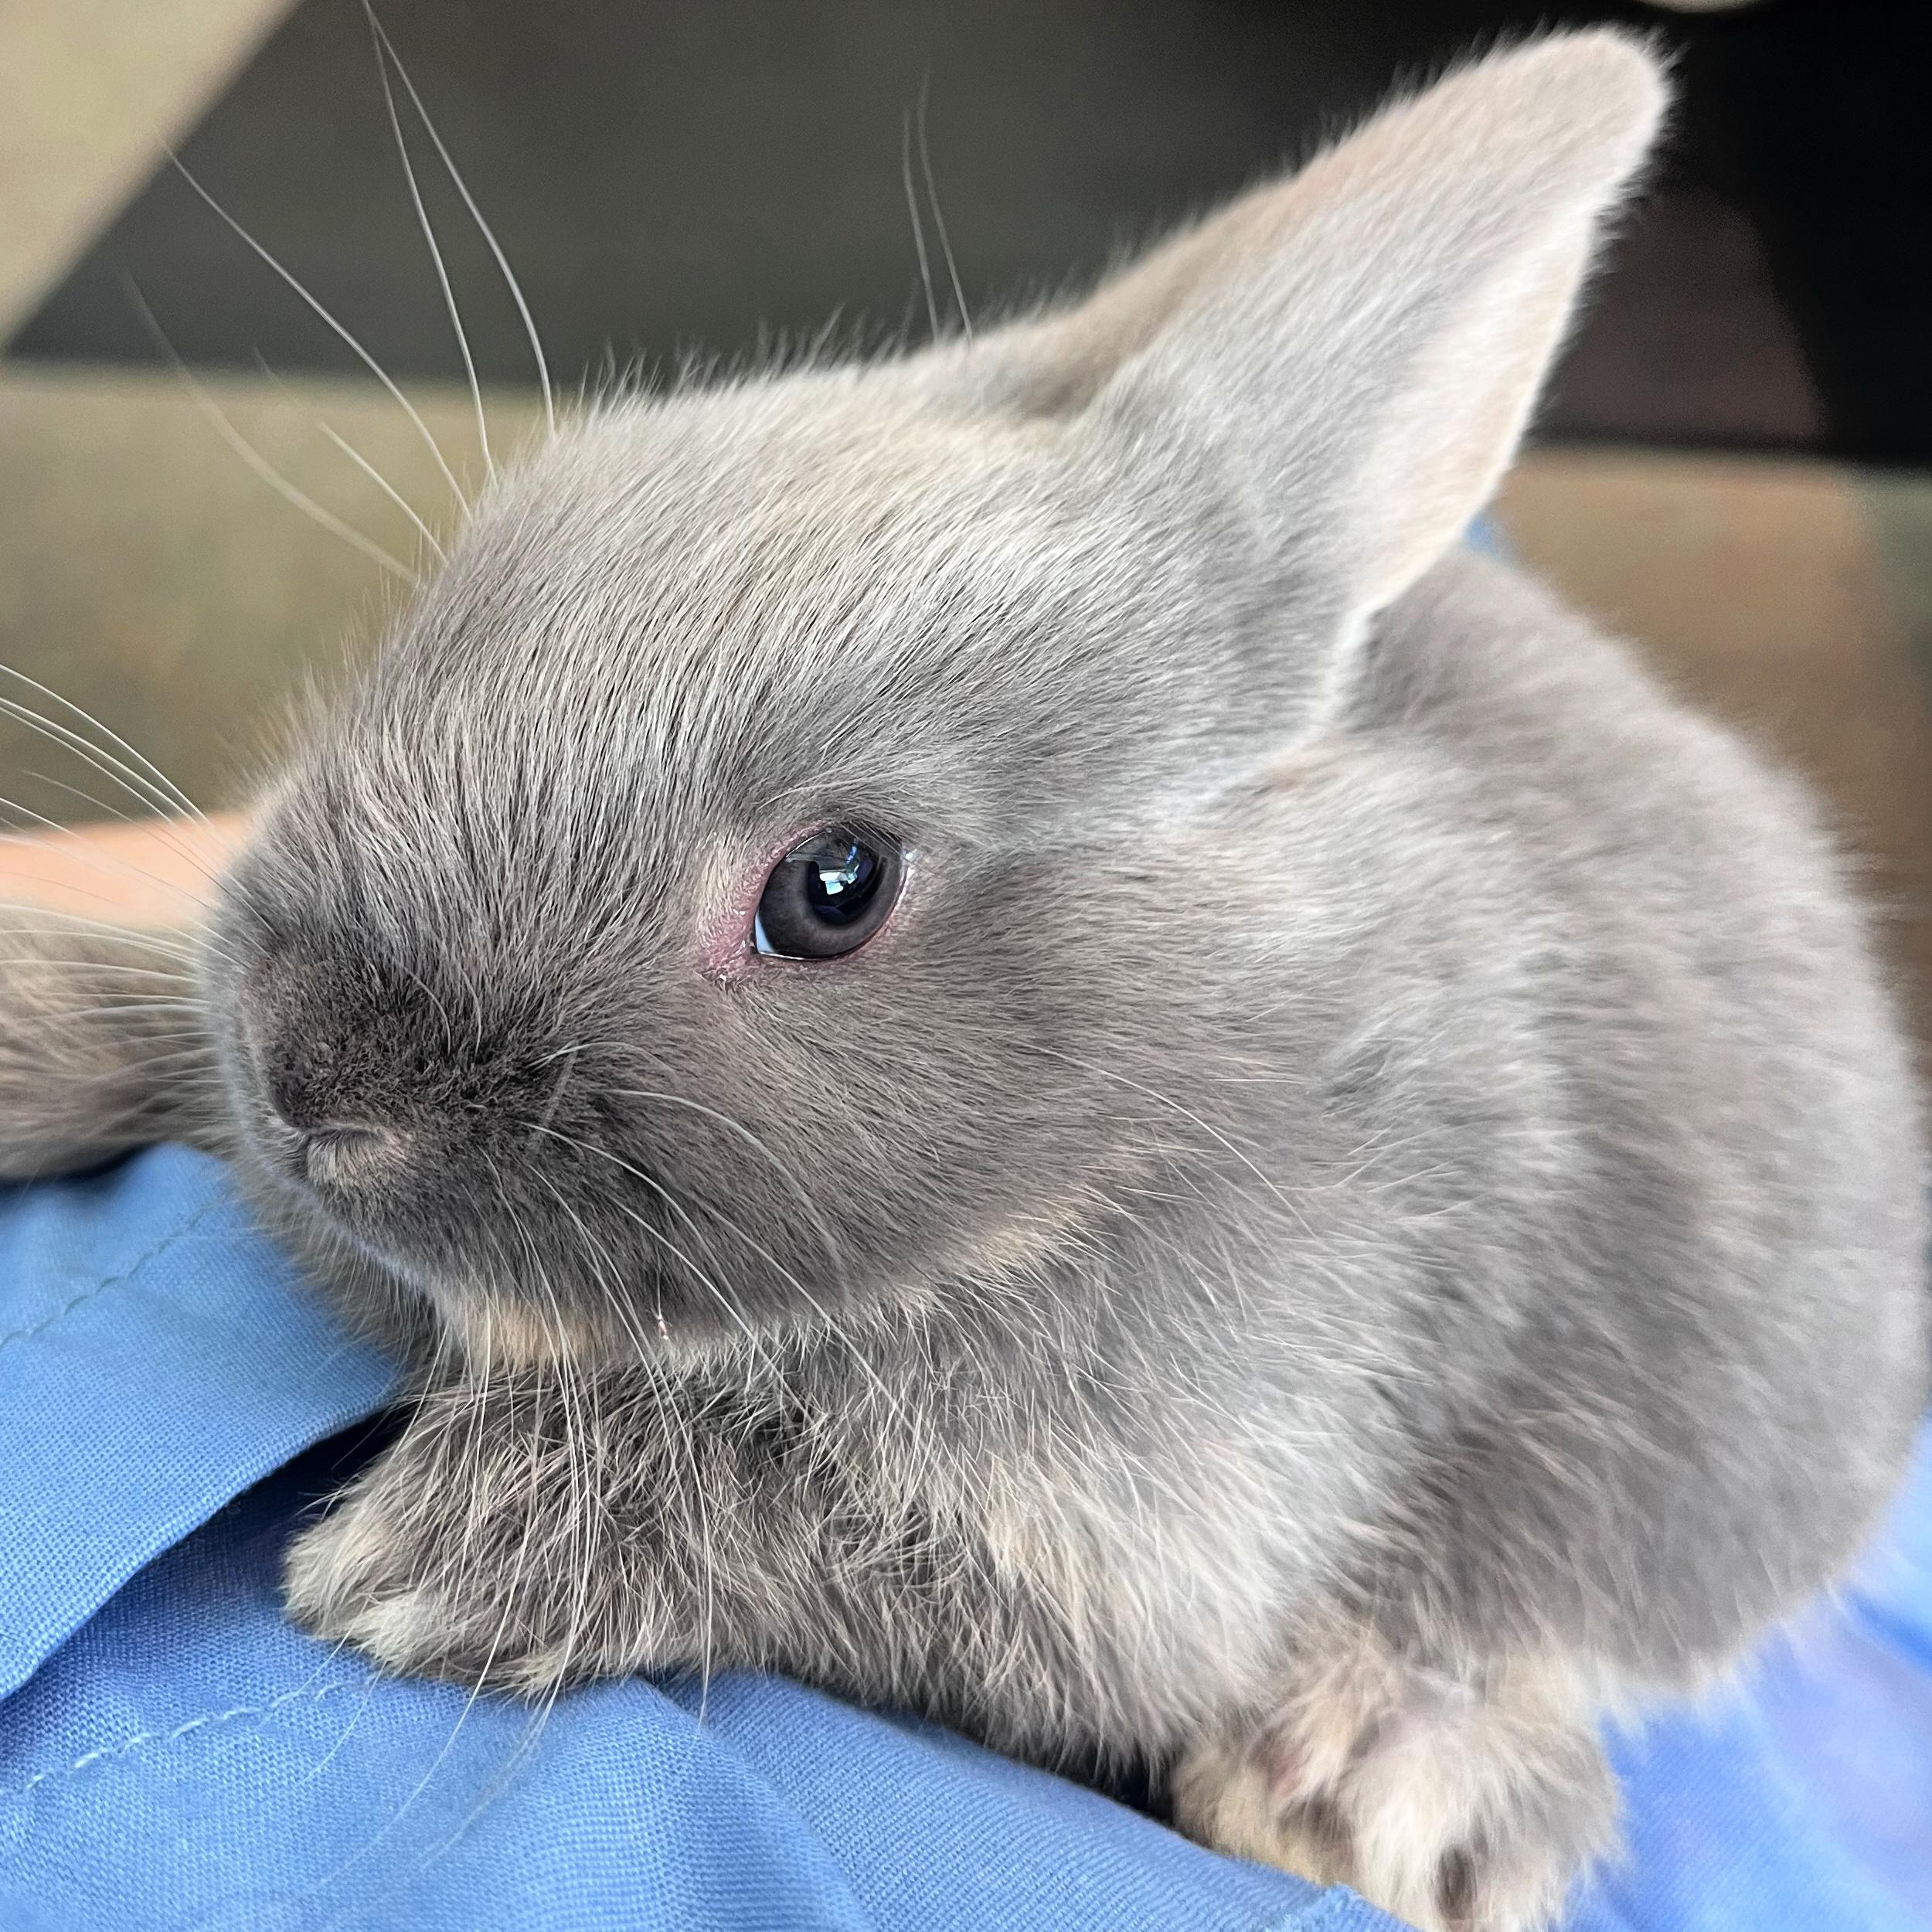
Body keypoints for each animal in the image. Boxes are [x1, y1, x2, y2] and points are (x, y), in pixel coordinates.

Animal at [1, 30, 1925, 1932]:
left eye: (832, 888)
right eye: (463, 598)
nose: (310, 1075)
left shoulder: (1143, 1521)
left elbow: (872, 1555)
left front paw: (427, 1559)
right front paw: (37, 1029)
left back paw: (1385, 1782)